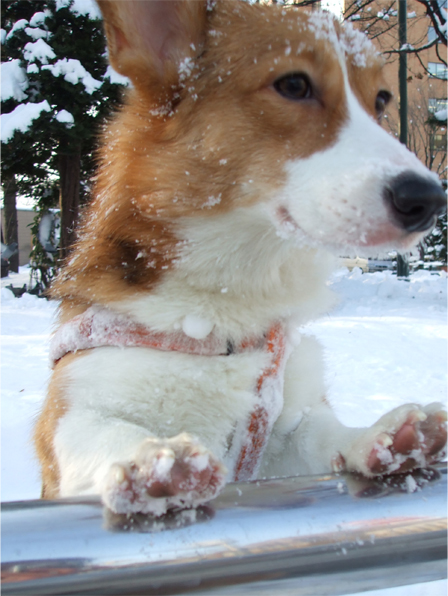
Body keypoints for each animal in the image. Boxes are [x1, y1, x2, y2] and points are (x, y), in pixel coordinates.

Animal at [34, 0, 447, 516]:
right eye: (294, 85)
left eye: (382, 100)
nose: (429, 200)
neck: (222, 314)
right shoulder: (75, 407)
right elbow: (103, 431)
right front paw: (155, 460)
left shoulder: (279, 432)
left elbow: (319, 433)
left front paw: (380, 439)